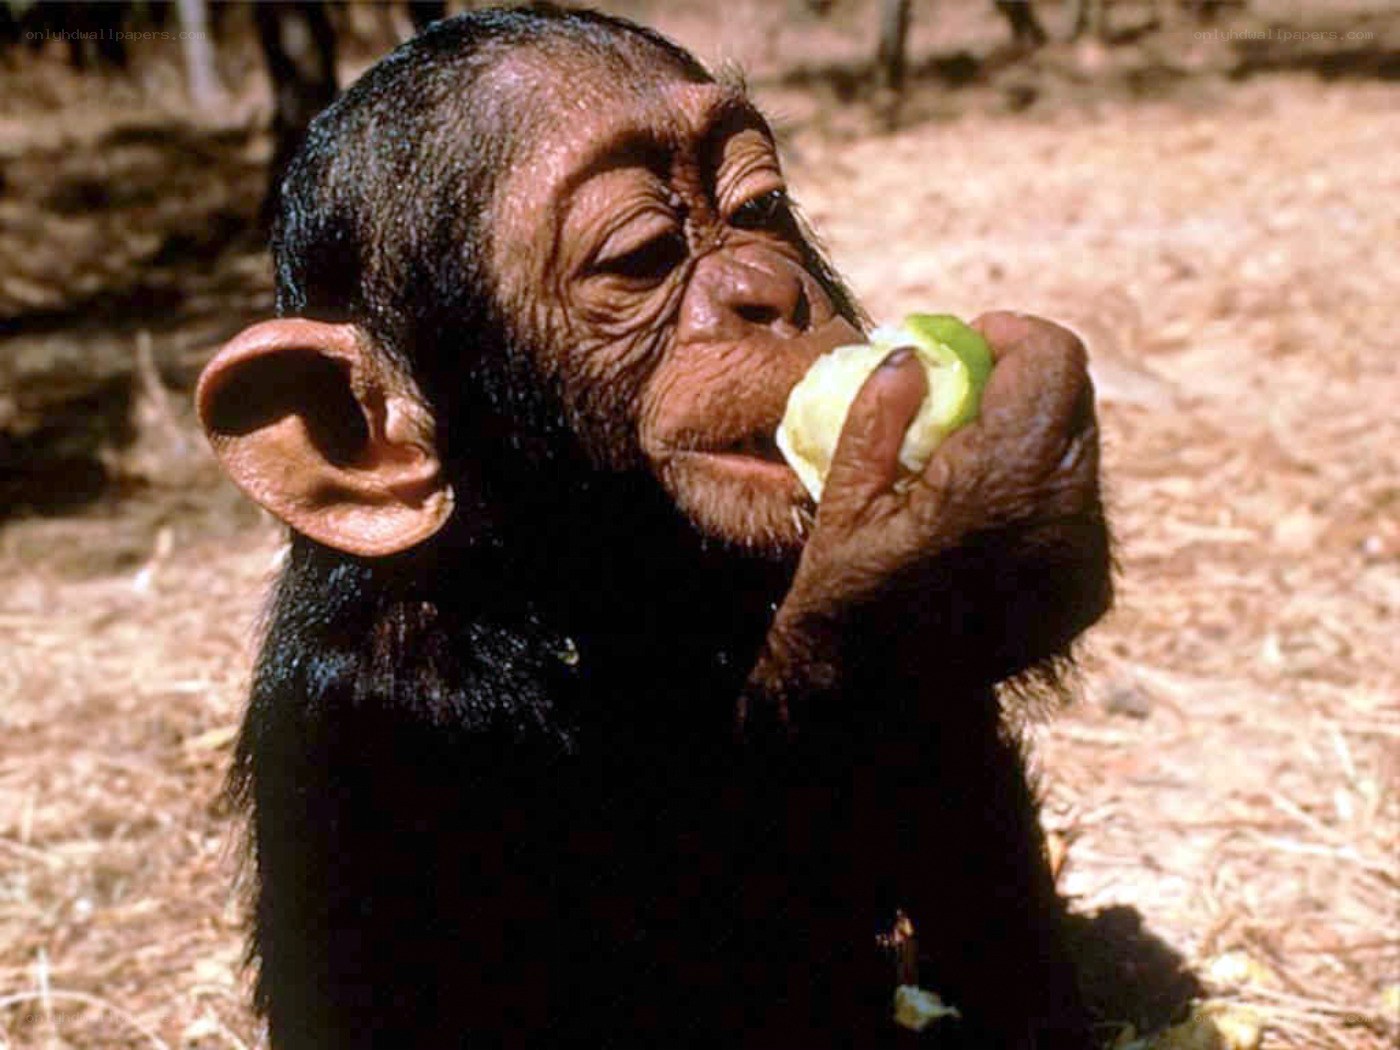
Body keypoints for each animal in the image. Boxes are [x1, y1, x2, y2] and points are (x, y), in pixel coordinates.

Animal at [197, 6, 1111, 1048]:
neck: (560, 594)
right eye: (641, 257)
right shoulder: (398, 716)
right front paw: (935, 570)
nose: (772, 292)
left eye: (758, 207)